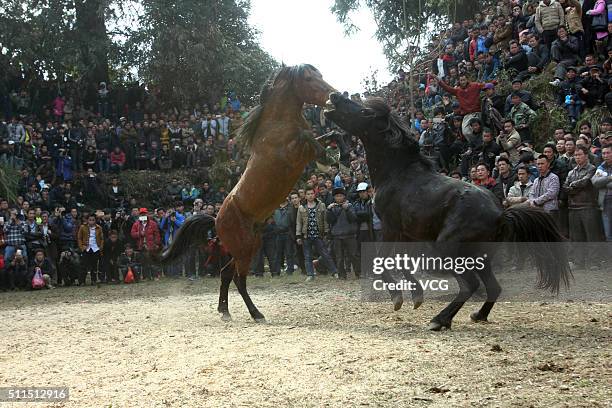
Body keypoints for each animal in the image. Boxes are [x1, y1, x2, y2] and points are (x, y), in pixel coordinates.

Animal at [160, 63, 338, 320]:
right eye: (307, 78)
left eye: (320, 75)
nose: (335, 96)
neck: (279, 124)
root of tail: (216, 220)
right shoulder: (290, 155)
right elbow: (308, 137)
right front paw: (329, 156)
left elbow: (321, 137)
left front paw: (334, 149)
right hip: (243, 249)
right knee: (238, 278)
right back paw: (255, 313)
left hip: (249, 246)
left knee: (226, 273)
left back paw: (224, 310)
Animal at [328, 93, 572, 332]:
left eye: (364, 111)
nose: (333, 96)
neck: (396, 172)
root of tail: (501, 214)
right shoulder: (406, 233)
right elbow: (402, 261)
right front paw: (416, 296)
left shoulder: (390, 227)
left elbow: (382, 261)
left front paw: (398, 298)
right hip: (479, 257)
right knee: (493, 287)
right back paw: (477, 316)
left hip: (448, 249)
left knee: (470, 285)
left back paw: (439, 320)